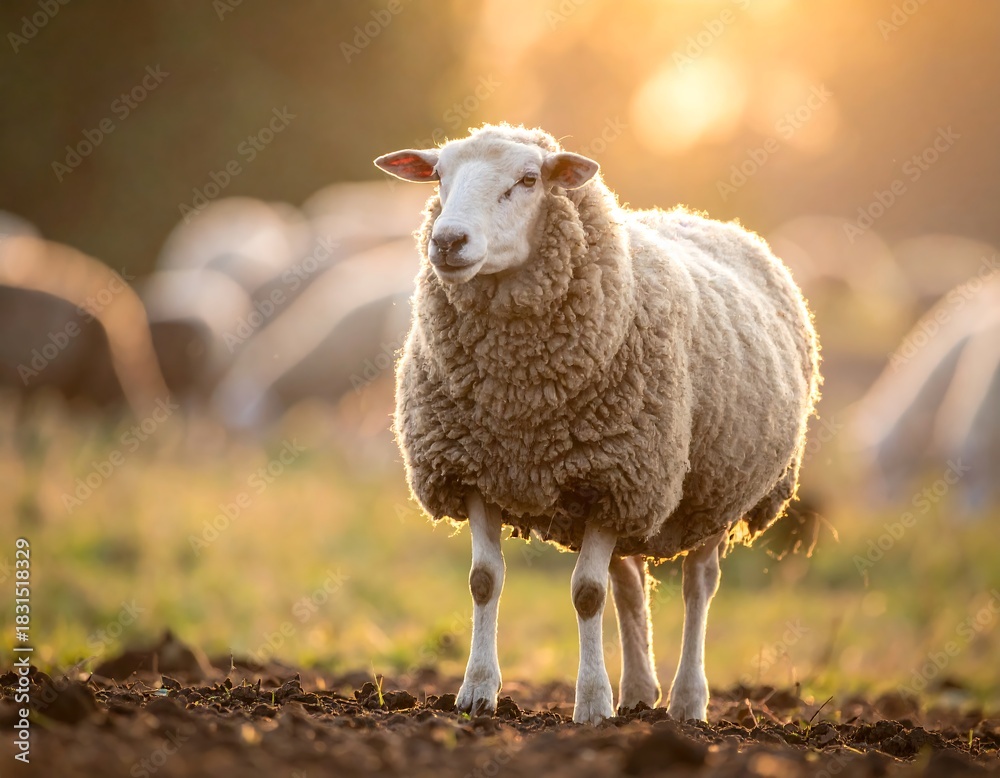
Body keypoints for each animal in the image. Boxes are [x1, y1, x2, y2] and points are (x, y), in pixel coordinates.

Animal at [374, 124, 820, 724]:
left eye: (529, 180)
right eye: (439, 175)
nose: (446, 242)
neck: (521, 402)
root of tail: (701, 217)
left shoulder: (615, 474)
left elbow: (587, 592)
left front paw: (590, 704)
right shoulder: (479, 471)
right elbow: (484, 582)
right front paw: (477, 693)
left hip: (711, 489)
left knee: (698, 585)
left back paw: (686, 701)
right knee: (630, 585)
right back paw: (637, 693)